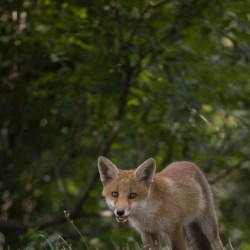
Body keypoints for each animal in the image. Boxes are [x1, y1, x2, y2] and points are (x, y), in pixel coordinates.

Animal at [97, 157, 225, 249]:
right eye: (115, 194)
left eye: (132, 195)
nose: (120, 212)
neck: (148, 215)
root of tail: (188, 162)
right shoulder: (147, 232)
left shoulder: (175, 227)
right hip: (166, 235)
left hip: (208, 225)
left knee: (218, 244)